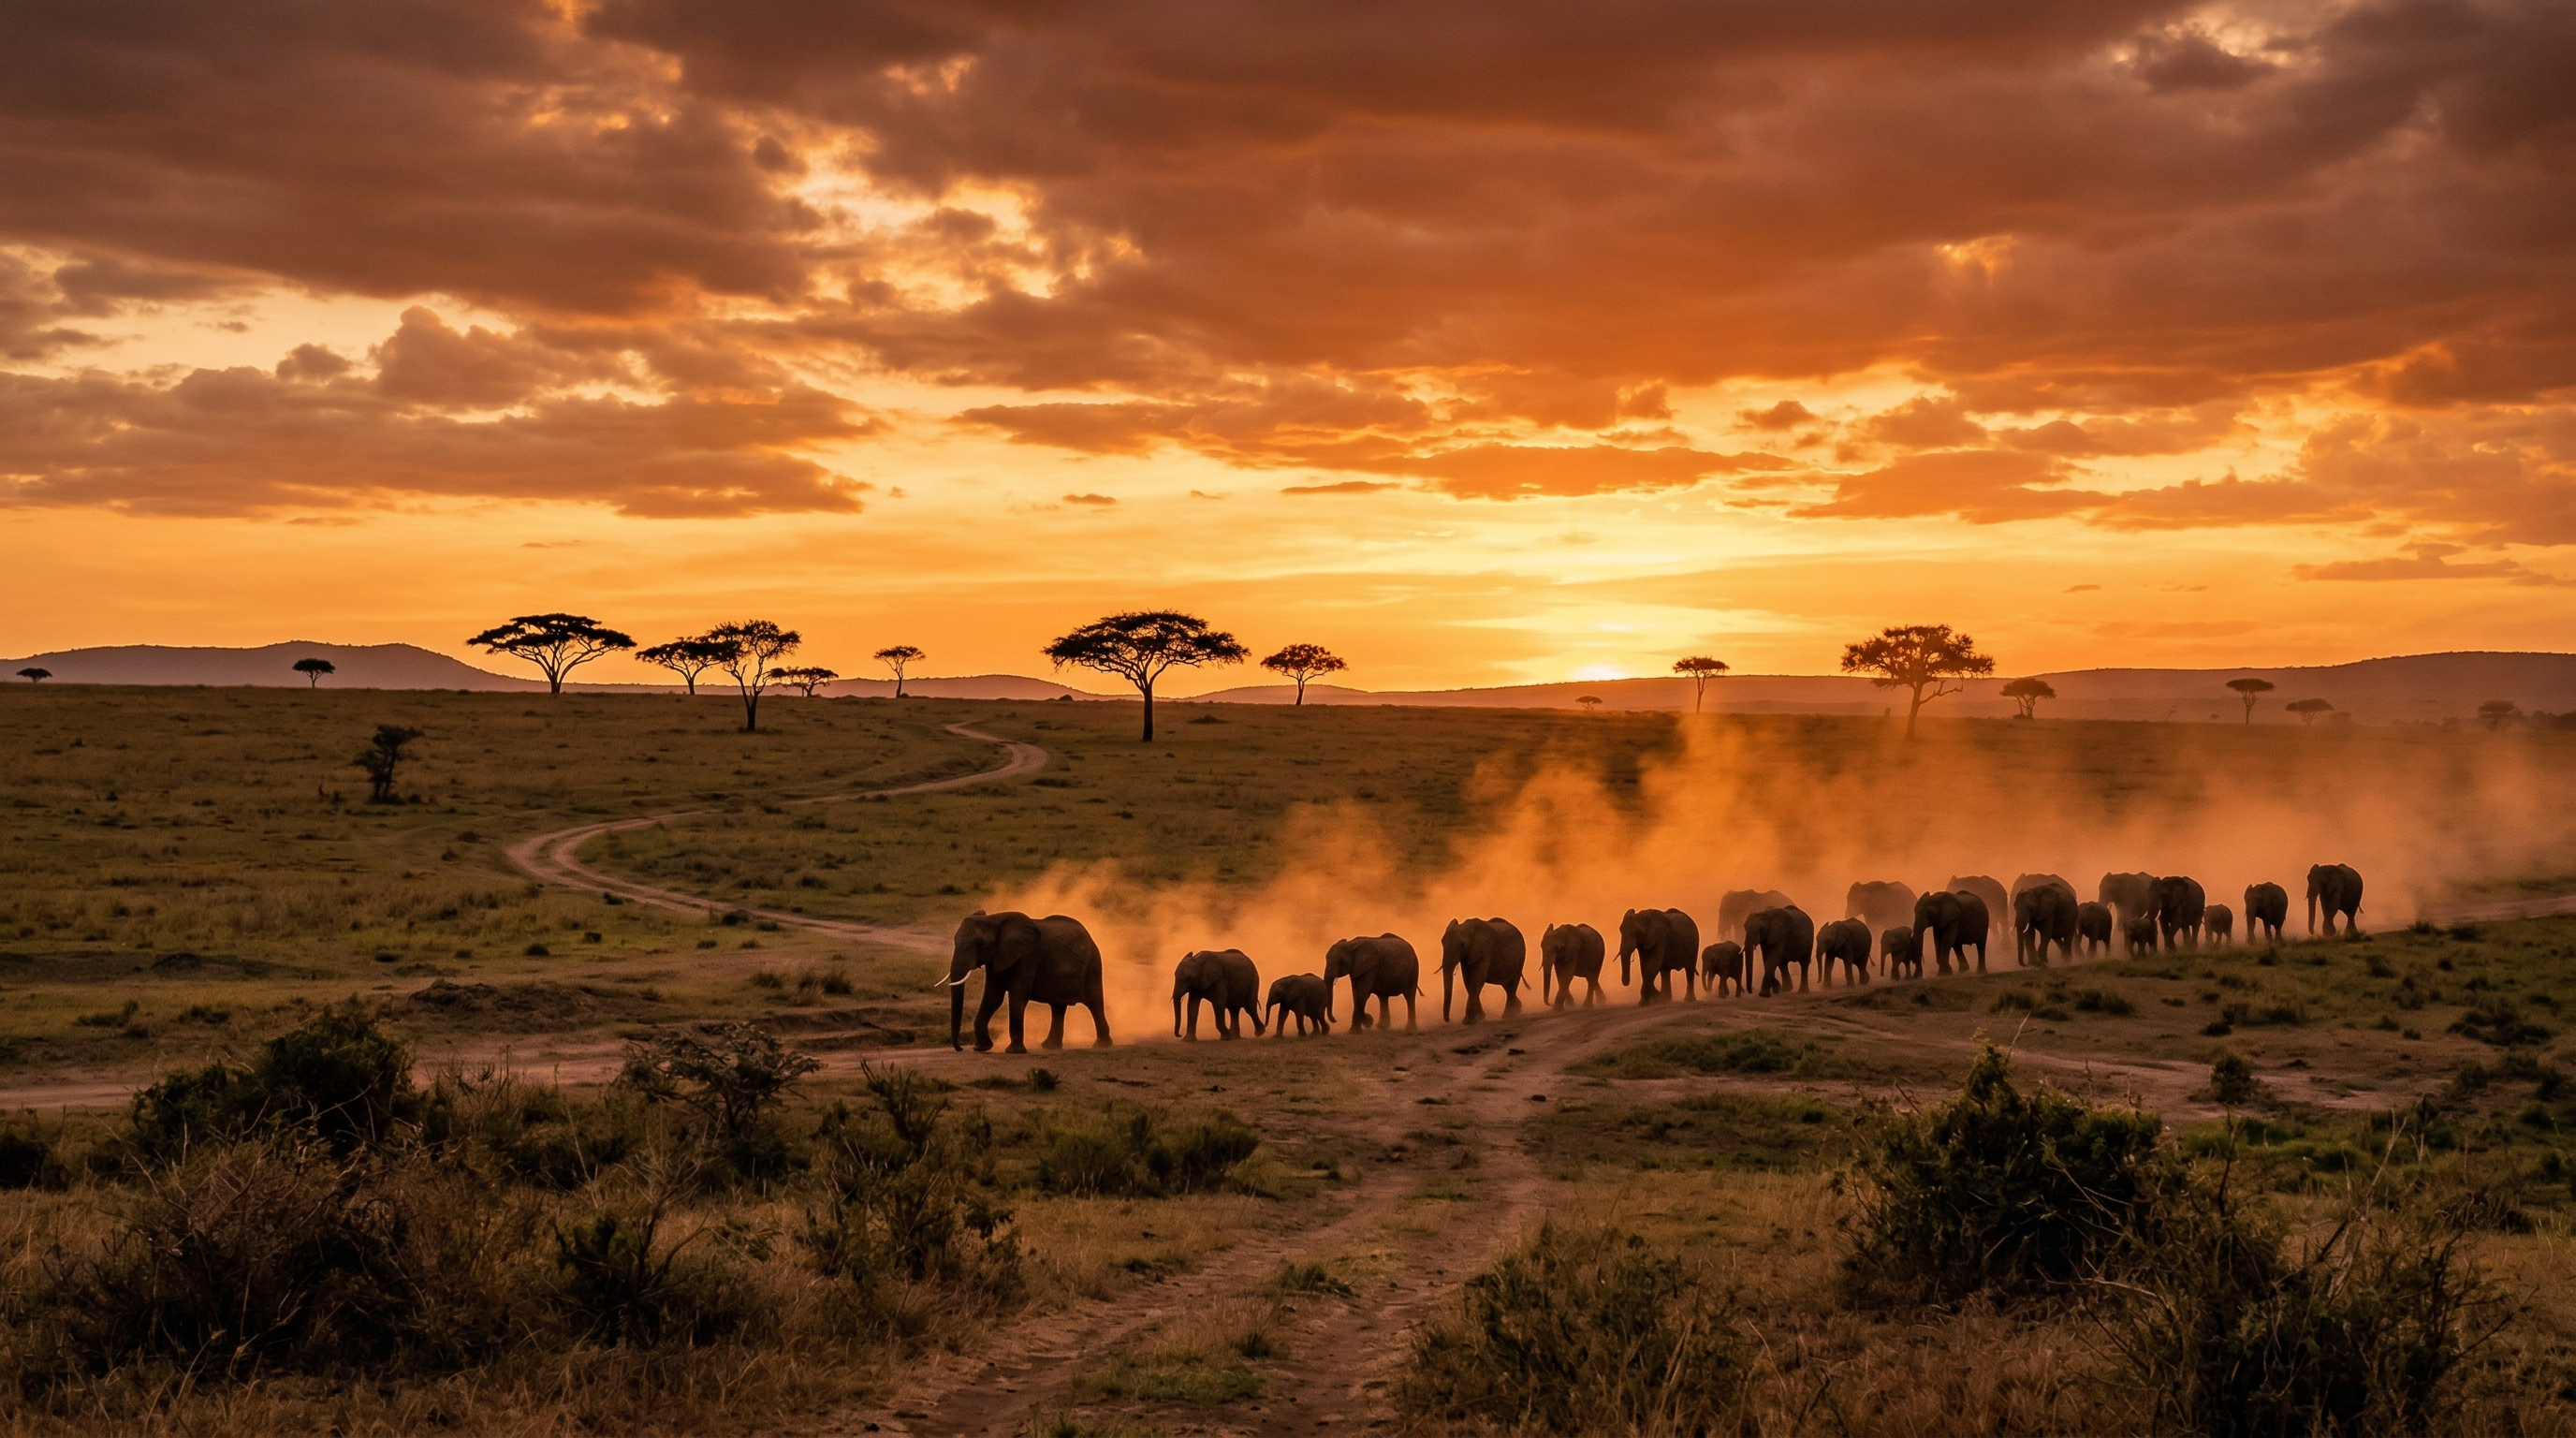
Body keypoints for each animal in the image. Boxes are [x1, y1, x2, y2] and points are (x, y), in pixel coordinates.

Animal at [948, 910, 1112, 1054]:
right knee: (1058, 1007)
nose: (959, 1048)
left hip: (1093, 964)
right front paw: (981, 1048)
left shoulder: (1027, 956)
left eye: (980, 944)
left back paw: (1101, 1045)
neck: (994, 919)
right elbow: (993, 997)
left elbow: (1017, 995)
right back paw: (1050, 1046)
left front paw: (1014, 1052)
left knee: (1094, 1002)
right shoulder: (996, 958)